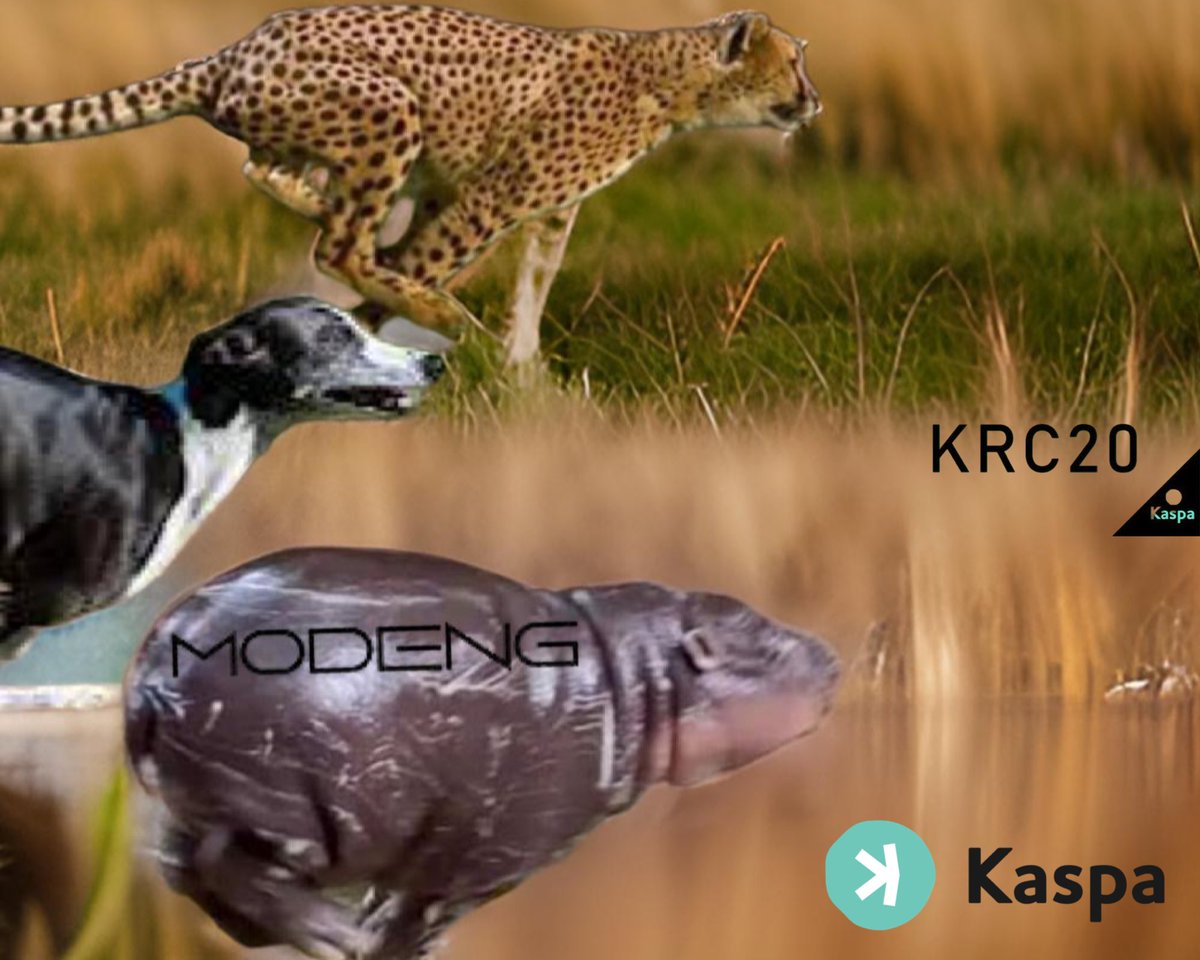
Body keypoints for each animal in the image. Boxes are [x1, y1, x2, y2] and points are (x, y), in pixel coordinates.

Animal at [124, 548, 839, 959]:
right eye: (765, 644)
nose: (832, 656)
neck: (637, 674)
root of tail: (159, 657)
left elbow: (398, 901)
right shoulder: (493, 855)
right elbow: (423, 916)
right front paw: (382, 942)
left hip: (204, 796)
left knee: (180, 865)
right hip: (294, 808)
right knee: (221, 864)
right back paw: (331, 935)